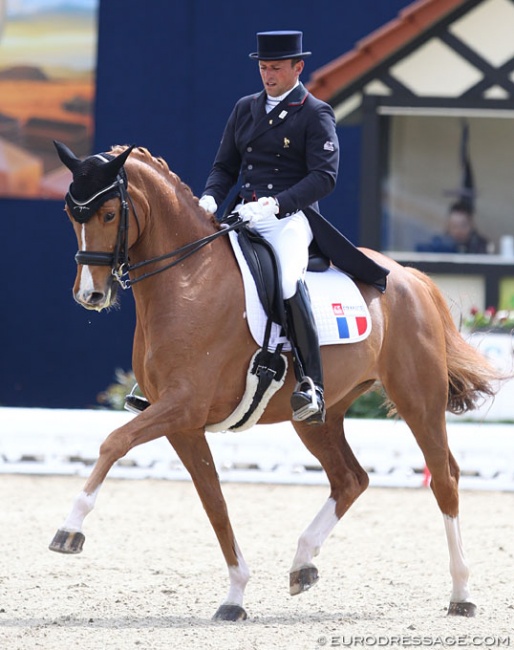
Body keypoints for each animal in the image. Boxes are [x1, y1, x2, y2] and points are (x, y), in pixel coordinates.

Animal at [51, 142, 500, 616]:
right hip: (319, 417)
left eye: (109, 214)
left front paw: (70, 529)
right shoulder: (183, 425)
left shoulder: (183, 406)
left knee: (444, 478)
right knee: (351, 478)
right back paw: (303, 563)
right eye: (71, 214)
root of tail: (409, 275)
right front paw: (235, 595)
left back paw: (461, 593)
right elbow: (214, 502)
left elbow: (113, 442)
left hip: (418, 400)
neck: (188, 280)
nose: (90, 295)